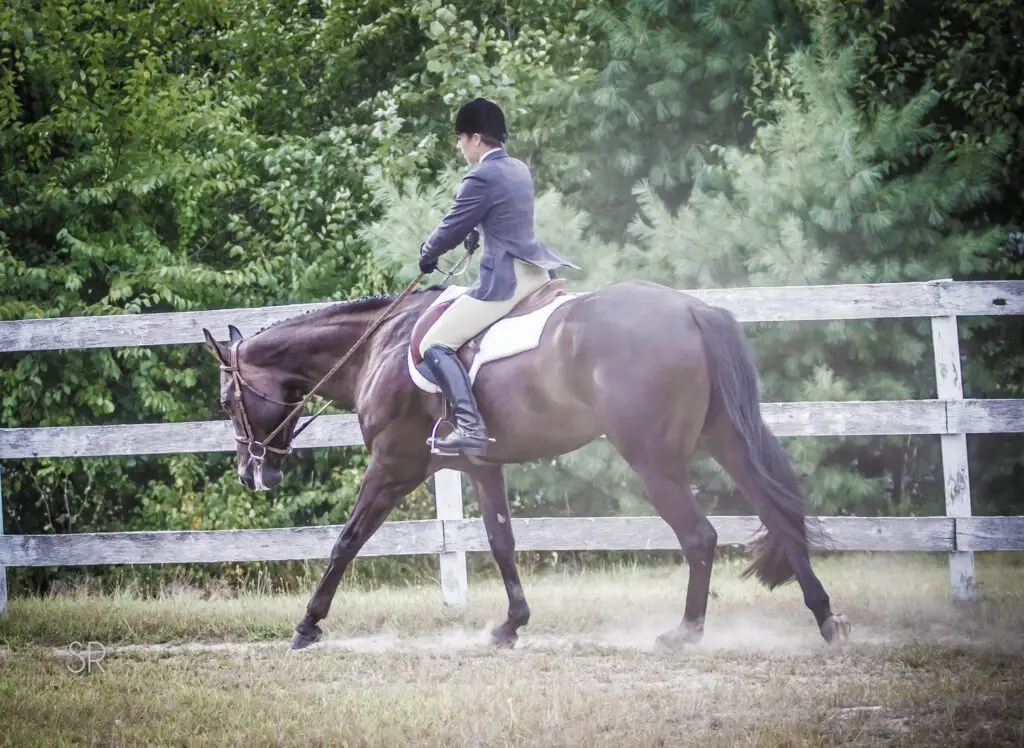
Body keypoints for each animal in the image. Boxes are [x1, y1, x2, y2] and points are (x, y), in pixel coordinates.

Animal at [197, 276, 847, 651]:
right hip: (725, 440)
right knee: (777, 514)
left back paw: (685, 633)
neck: (380, 347)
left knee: (700, 536)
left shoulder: (395, 465)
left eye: (228, 401)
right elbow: (501, 540)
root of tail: (691, 310)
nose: (254, 473)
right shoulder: (484, 466)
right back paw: (825, 619)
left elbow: (347, 540)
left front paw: (307, 625)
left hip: (653, 460)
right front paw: (511, 625)